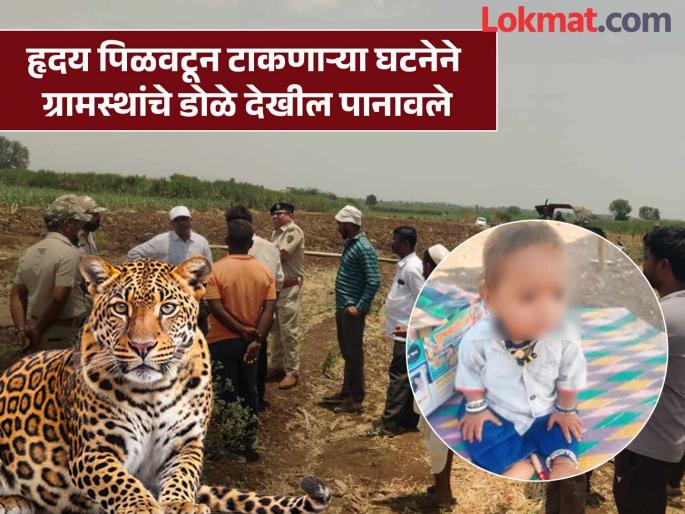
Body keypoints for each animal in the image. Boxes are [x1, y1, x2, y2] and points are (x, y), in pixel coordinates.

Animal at [0, 256, 331, 514]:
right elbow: (119, 481)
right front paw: (143, 505)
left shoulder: (186, 442)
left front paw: (180, 503)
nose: (142, 346)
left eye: (168, 307)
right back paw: (12, 501)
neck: (153, 392)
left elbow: (184, 474)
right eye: (121, 308)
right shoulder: (93, 451)